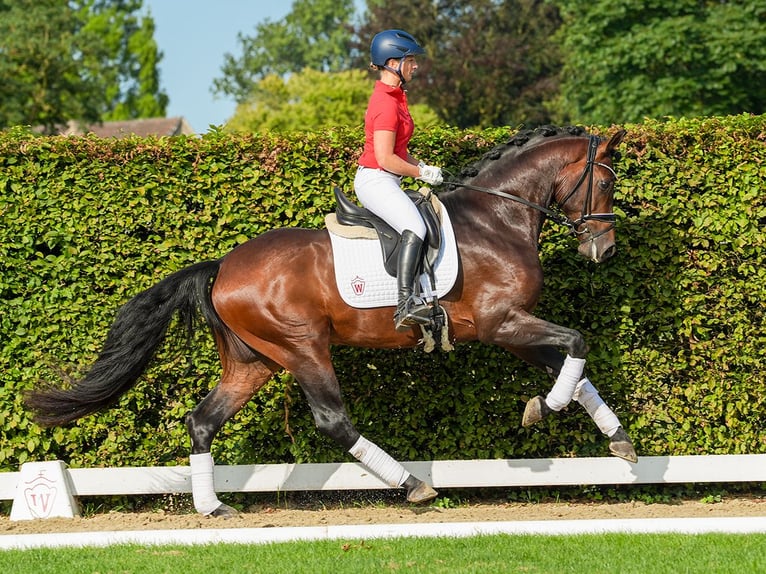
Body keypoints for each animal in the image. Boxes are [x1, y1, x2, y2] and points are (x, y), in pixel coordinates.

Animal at [25, 125, 636, 516]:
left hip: (255, 360)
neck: (498, 217)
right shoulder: (501, 322)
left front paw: (619, 440)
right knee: (332, 421)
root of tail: (222, 266)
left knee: (203, 421)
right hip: (302, 346)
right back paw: (413, 486)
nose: (603, 251)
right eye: (606, 183)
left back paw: (213, 507)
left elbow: (574, 367)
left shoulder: (510, 329)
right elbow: (577, 344)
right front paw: (544, 409)